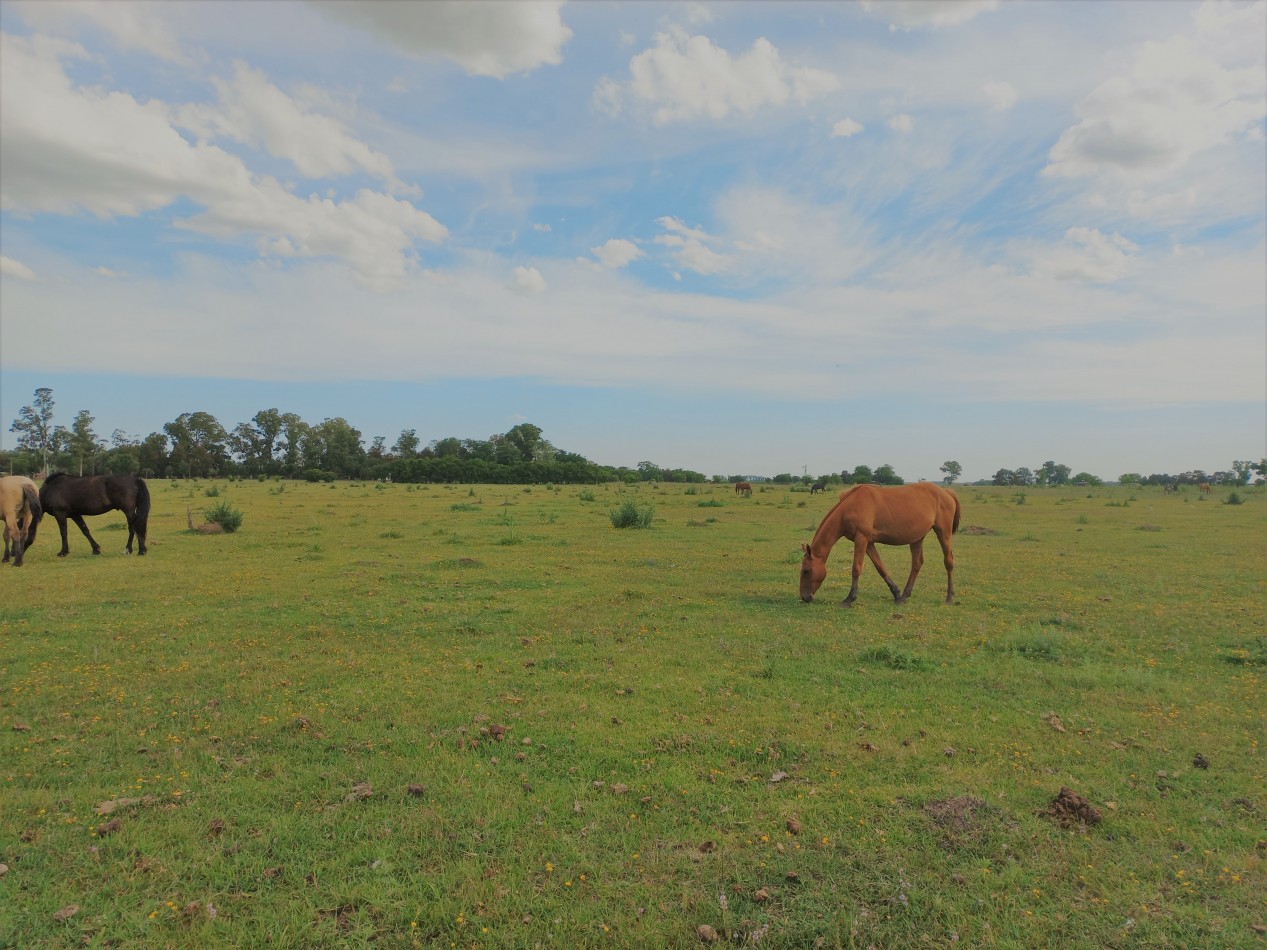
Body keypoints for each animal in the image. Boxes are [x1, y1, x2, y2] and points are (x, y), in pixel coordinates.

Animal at [800, 483, 957, 610]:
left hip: (943, 532)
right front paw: (896, 594)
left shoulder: (861, 539)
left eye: (806, 571)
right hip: (917, 538)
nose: (804, 597)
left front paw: (849, 599)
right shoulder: (868, 543)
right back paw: (904, 596)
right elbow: (880, 567)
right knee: (917, 564)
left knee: (948, 562)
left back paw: (949, 597)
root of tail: (946, 491)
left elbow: (856, 569)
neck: (850, 506)